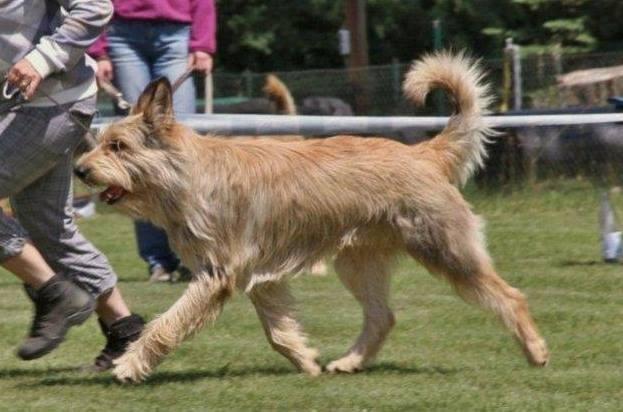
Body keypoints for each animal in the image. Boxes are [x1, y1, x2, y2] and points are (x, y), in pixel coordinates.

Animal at [75, 52, 548, 384]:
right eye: (101, 141)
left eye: (118, 146)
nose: (79, 169)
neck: (187, 177)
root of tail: (423, 153)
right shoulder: (259, 278)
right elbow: (278, 330)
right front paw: (306, 360)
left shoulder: (217, 275)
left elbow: (167, 324)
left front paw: (130, 364)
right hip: (357, 263)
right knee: (383, 316)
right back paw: (349, 362)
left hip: (447, 251)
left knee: (511, 296)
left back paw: (536, 350)